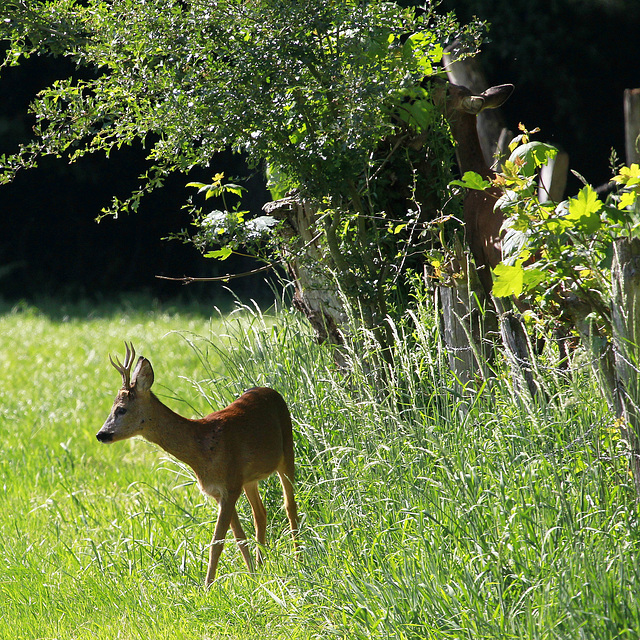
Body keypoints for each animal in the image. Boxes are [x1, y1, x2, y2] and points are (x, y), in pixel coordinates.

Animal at [95, 342, 300, 588]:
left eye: (121, 409)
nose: (101, 434)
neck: (202, 447)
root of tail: (271, 390)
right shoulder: (220, 491)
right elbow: (239, 538)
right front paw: (252, 576)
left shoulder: (230, 486)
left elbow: (217, 543)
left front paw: (208, 587)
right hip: (250, 479)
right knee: (260, 513)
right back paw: (262, 564)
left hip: (287, 450)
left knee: (290, 506)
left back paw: (299, 557)